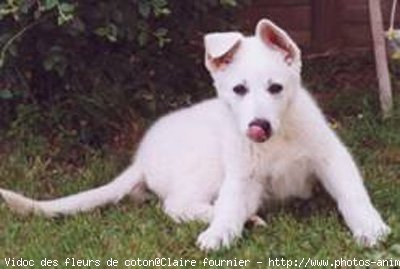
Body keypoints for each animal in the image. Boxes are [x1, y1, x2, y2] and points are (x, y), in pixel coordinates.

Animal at [0, 18, 390, 249]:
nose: (258, 126)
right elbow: (228, 207)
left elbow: (353, 196)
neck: (279, 139)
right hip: (209, 166)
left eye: (276, 88)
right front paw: (220, 232)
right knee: (176, 205)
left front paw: (371, 228)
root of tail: (141, 160)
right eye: (239, 90)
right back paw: (239, 219)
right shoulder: (242, 176)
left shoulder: (332, 159)